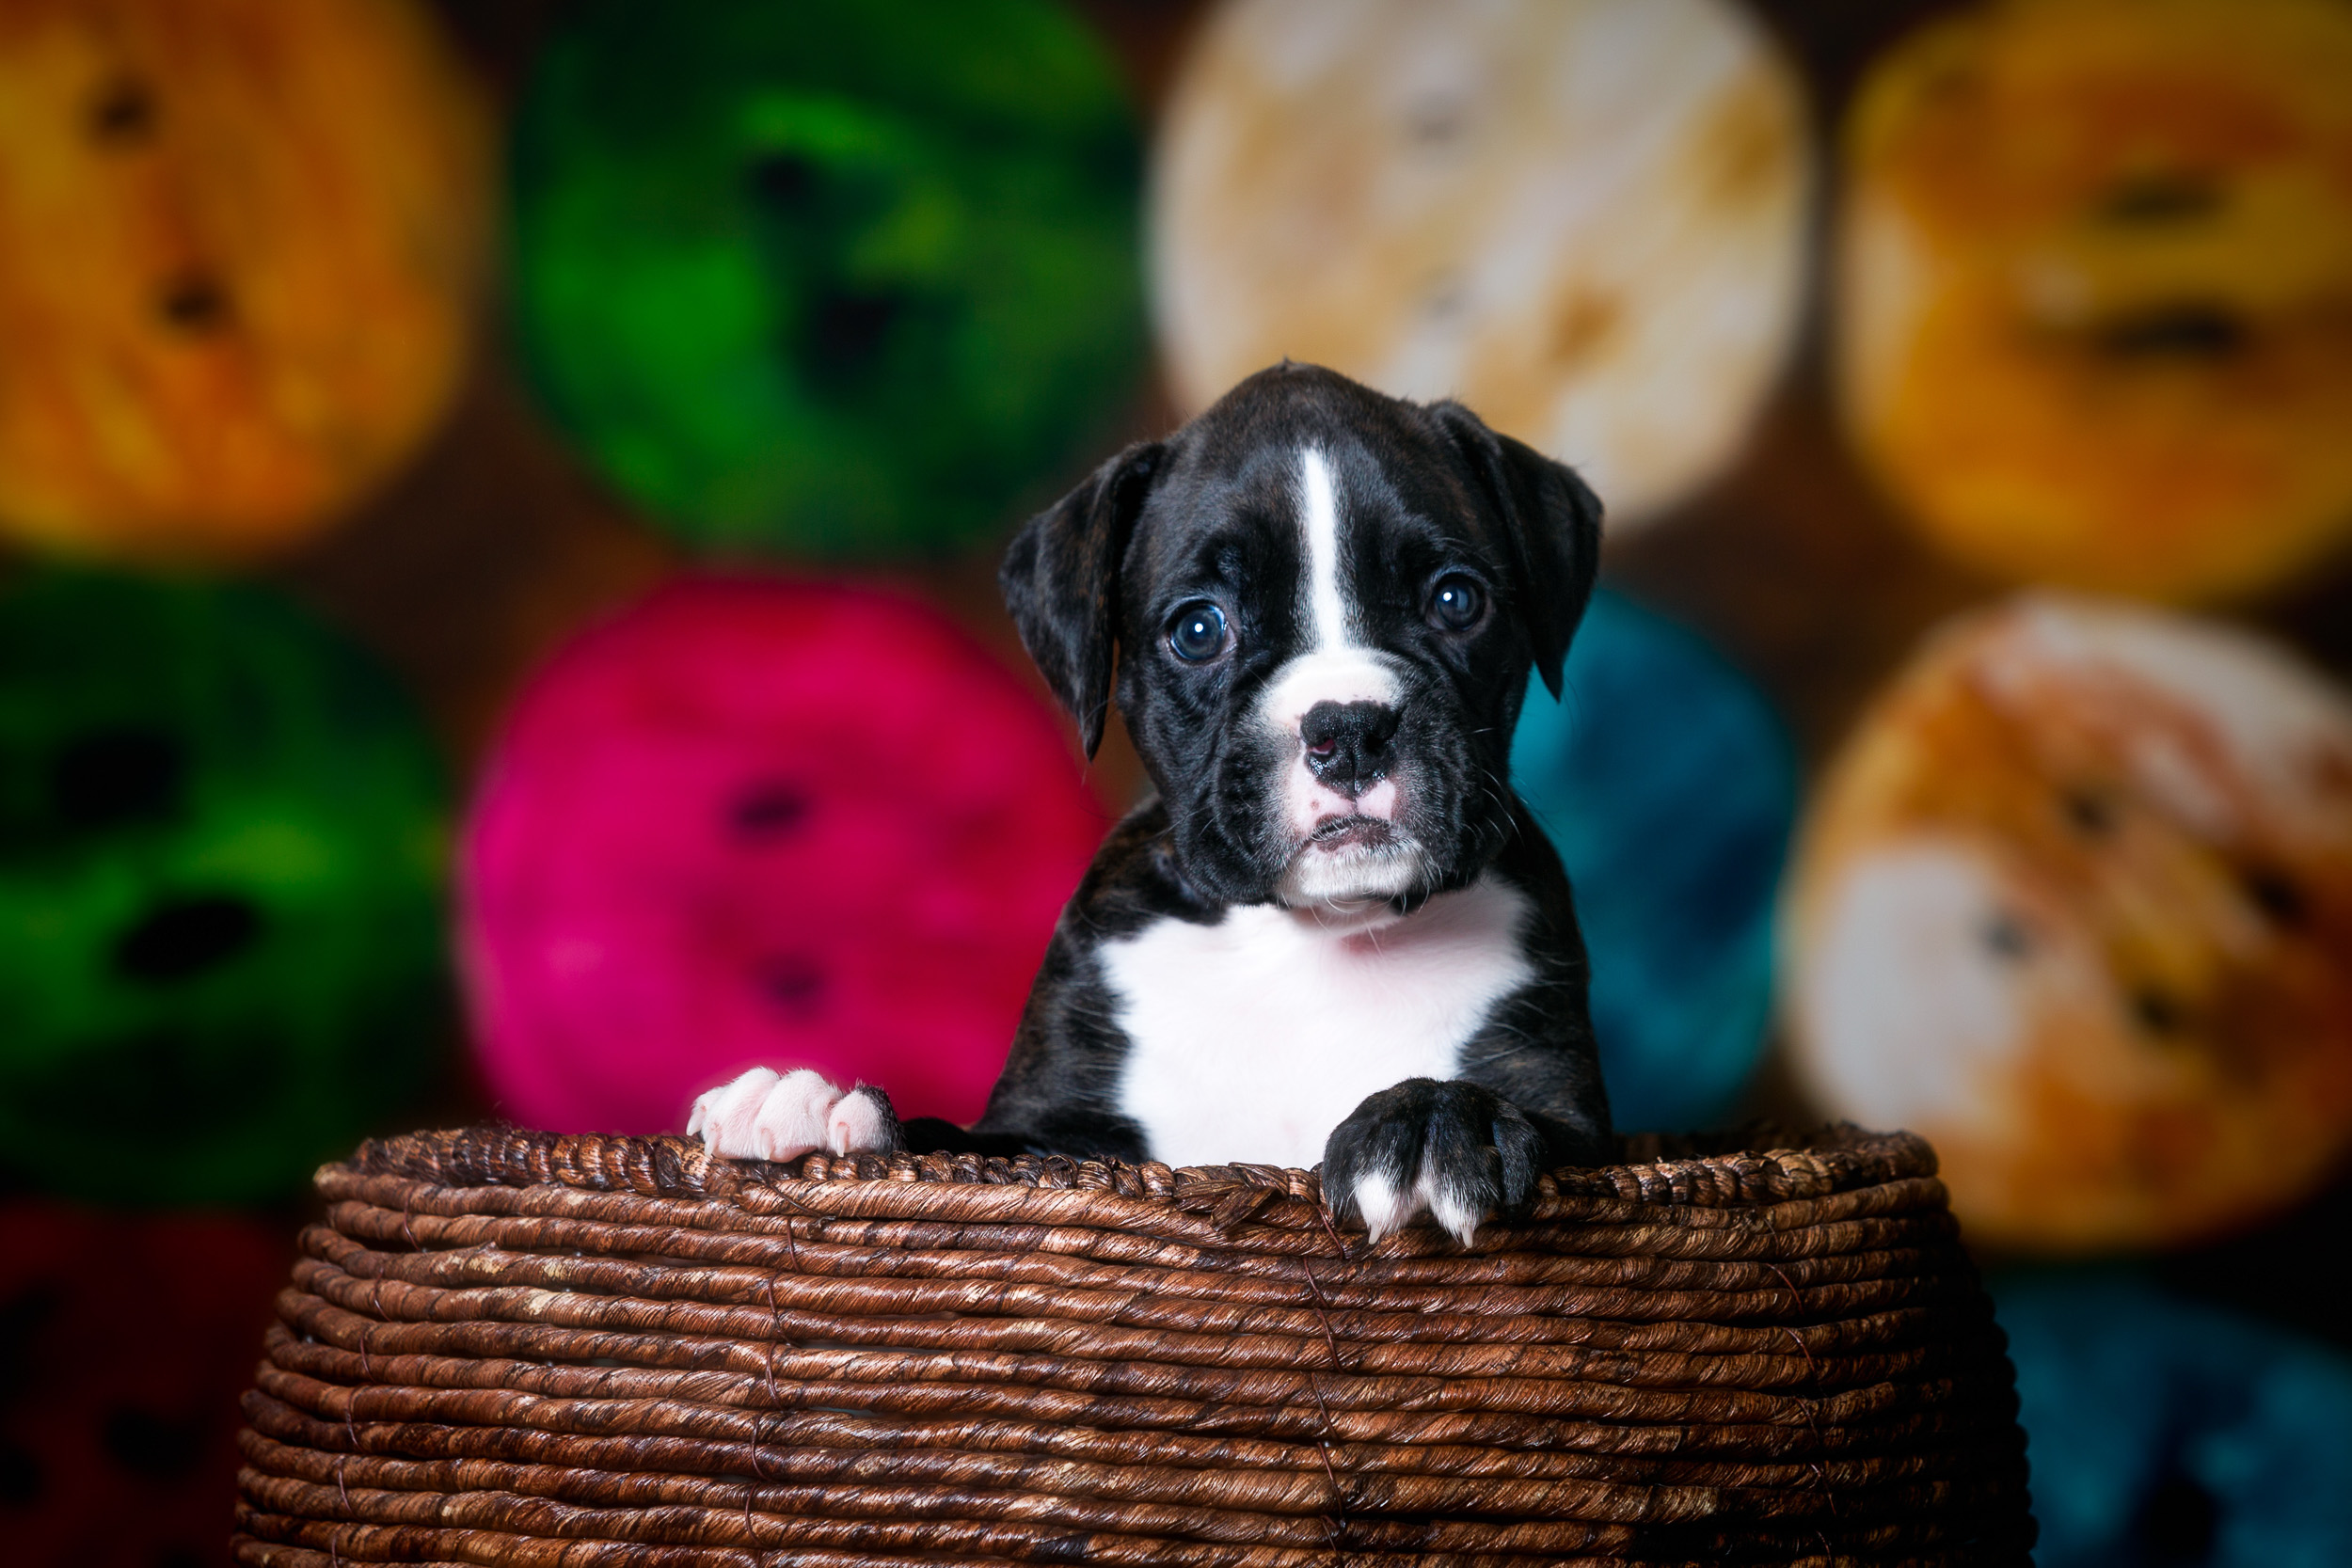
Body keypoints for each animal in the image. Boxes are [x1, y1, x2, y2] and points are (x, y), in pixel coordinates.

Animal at [690, 362, 1611, 1244]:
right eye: (1199, 630)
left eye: (1456, 600)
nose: (1349, 727)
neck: (1316, 935)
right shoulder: (1054, 1136)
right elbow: (959, 1141)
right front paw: (825, 1106)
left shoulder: (1581, 1127)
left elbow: (1531, 1123)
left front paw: (1431, 1120)